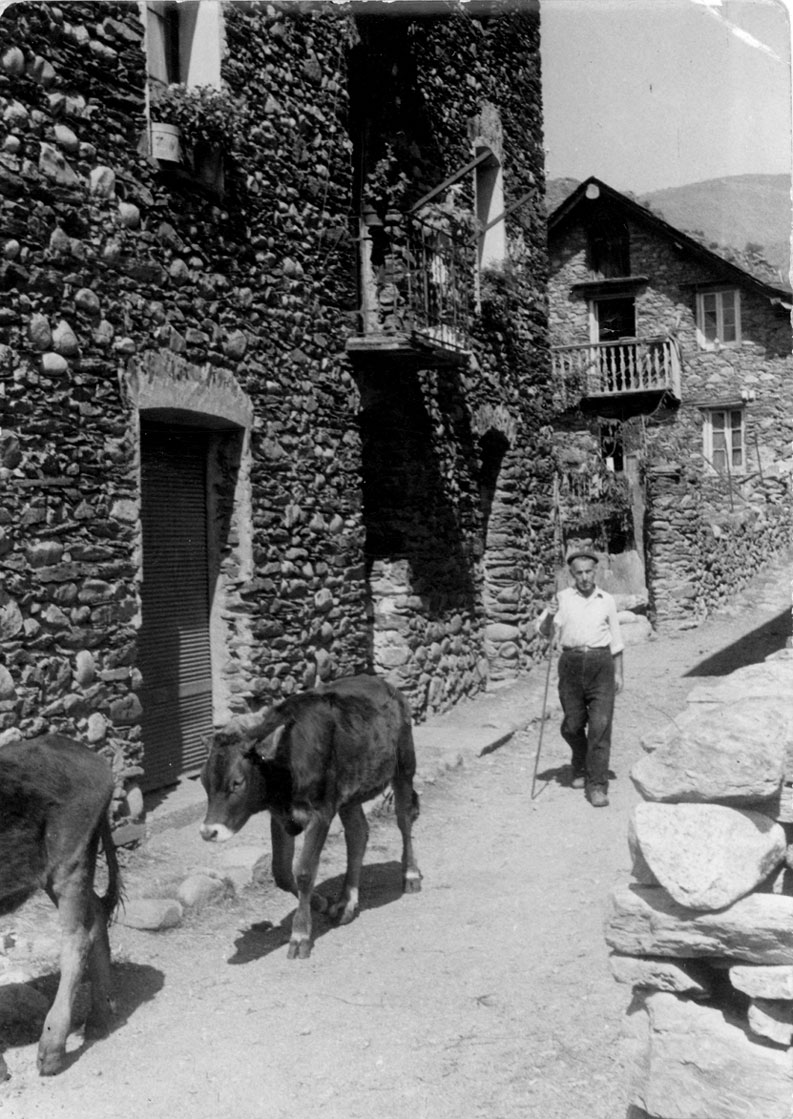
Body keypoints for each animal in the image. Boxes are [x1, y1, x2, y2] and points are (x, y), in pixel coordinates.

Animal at [0, 729, 120, 1078]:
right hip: (63, 872)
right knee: (96, 916)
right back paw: (100, 1018)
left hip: (69, 862)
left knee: (77, 939)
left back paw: (51, 1049)